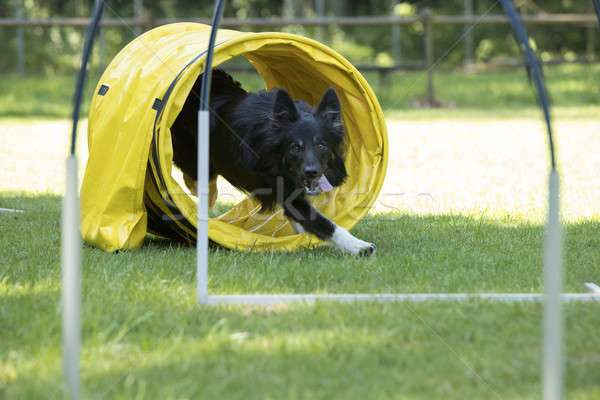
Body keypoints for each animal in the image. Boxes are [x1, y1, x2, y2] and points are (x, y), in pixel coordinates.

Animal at [170, 69, 376, 256]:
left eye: (321, 145)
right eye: (295, 147)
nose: (312, 172)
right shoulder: (281, 187)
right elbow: (324, 223)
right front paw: (359, 246)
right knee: (199, 181)